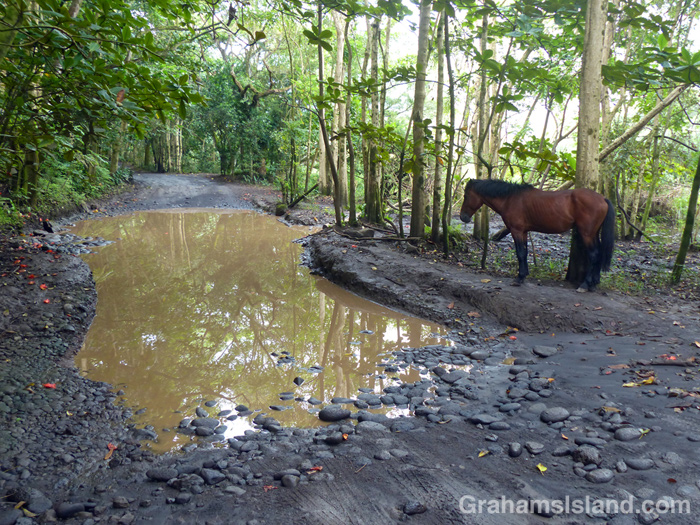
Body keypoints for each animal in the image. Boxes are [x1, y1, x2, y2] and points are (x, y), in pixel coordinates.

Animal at [460, 179, 615, 292]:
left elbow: (520, 253)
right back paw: (594, 282)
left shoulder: (516, 230)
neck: (510, 199)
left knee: (594, 255)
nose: (463, 217)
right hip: (593, 233)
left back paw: (585, 285)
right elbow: (525, 253)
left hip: (587, 234)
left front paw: (519, 278)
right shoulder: (523, 232)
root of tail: (603, 199)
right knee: (599, 253)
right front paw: (524, 275)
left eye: (466, 196)